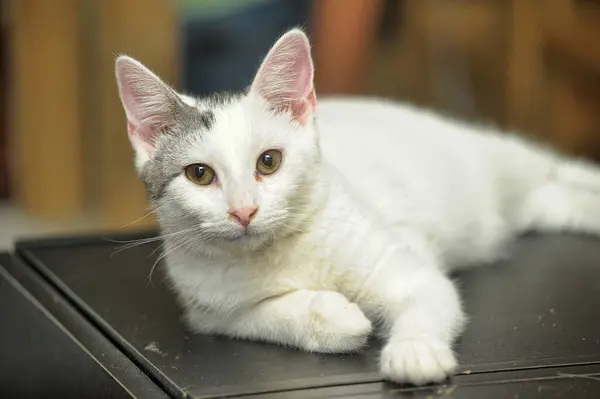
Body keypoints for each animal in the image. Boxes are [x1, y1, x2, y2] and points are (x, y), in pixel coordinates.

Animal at [115, 29, 600, 386]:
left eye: (268, 162)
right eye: (199, 174)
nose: (243, 211)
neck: (277, 252)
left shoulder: (413, 271)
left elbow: (427, 298)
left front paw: (414, 352)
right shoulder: (209, 311)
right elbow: (264, 315)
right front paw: (336, 317)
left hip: (506, 160)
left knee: (563, 169)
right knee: (555, 202)